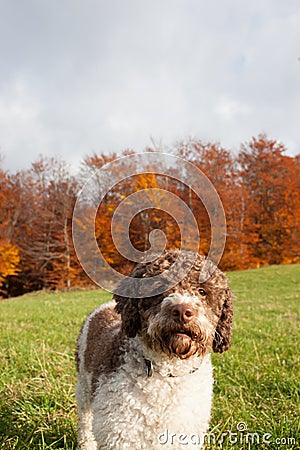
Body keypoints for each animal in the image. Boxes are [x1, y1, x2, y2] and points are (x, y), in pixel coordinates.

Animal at [75, 251, 232, 448]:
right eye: (160, 285)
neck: (167, 373)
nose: (182, 311)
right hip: (83, 387)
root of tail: (105, 307)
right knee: (85, 423)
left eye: (202, 291)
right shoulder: (119, 433)